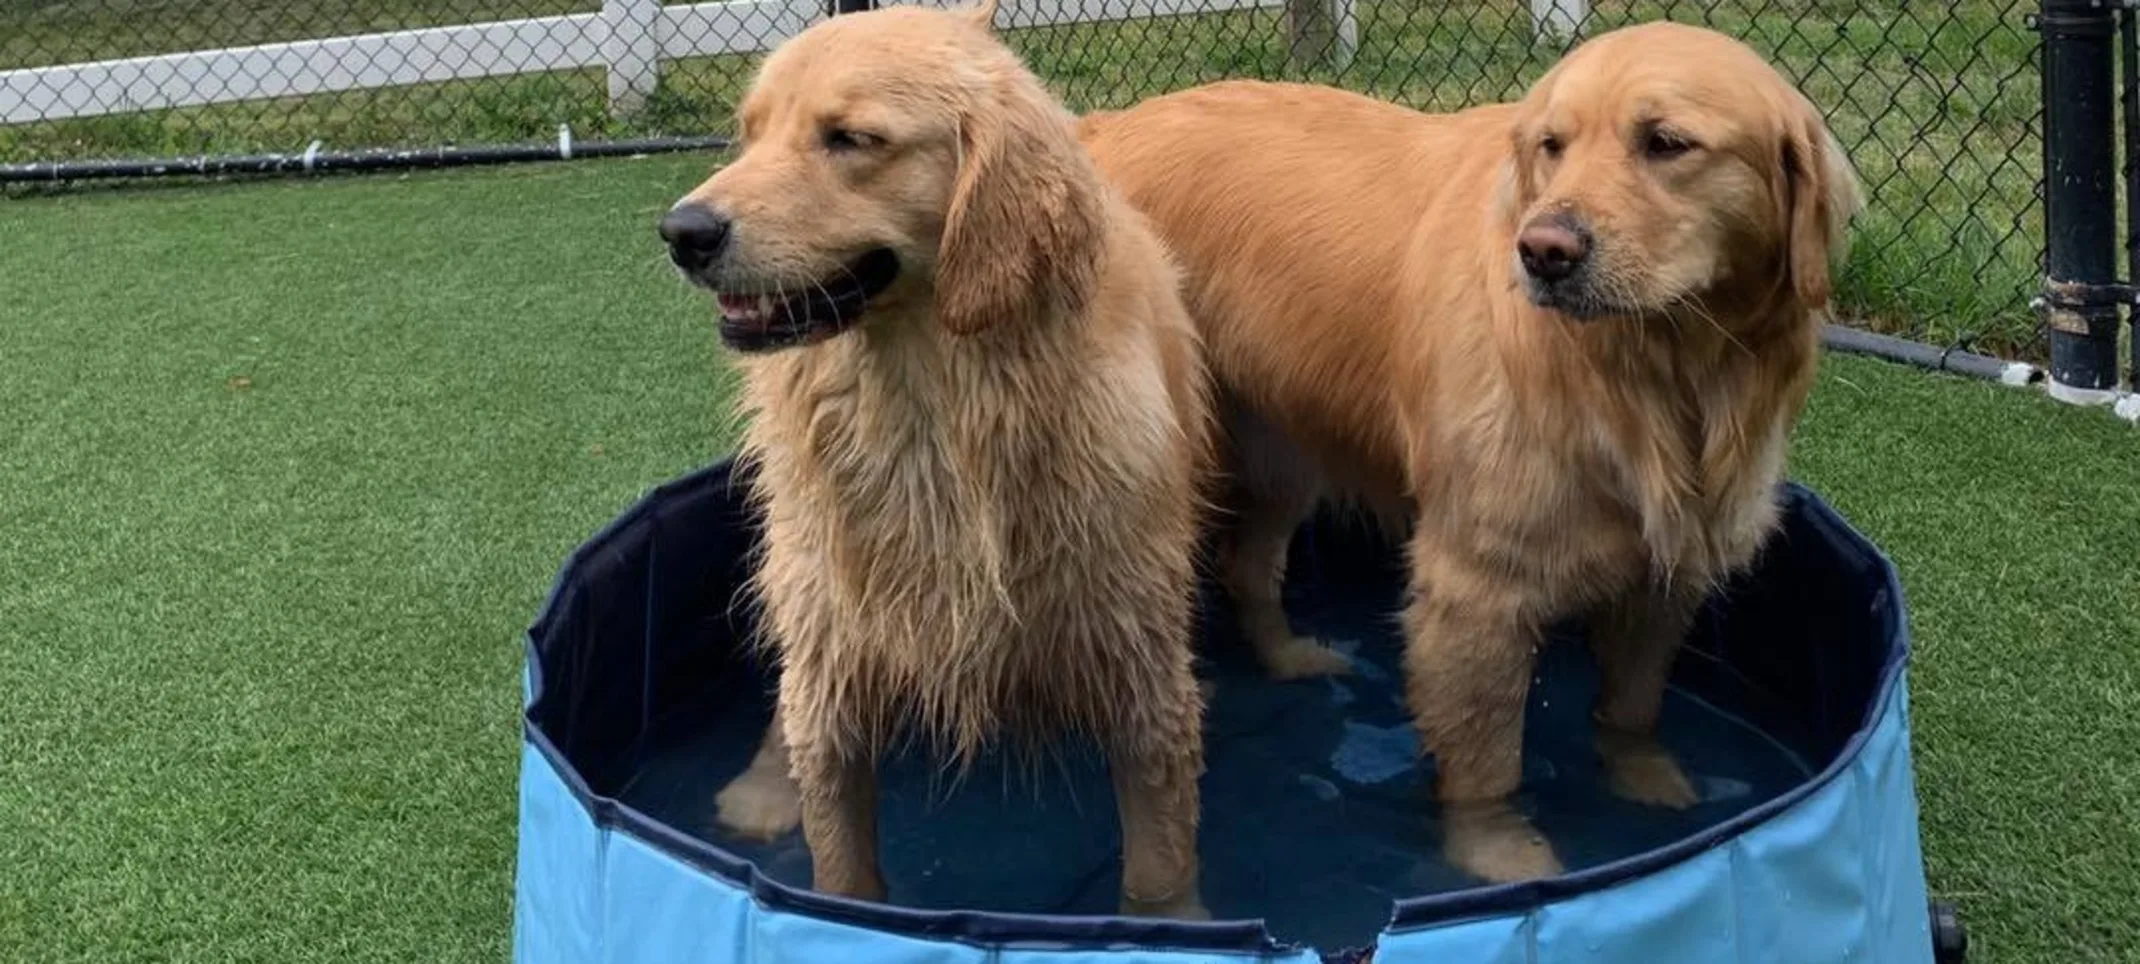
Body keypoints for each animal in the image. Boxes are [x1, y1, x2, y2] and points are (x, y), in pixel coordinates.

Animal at [650, 0, 1224, 916]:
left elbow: (1158, 869)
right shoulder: (837, 650)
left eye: (850, 139)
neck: (930, 411)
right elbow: (840, 858)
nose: (683, 232)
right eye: (748, 133)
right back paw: (762, 793)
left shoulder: (1137, 662)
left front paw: (1173, 926)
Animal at [1078, 20, 1866, 882]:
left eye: (1666, 143)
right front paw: (1502, 858)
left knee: (1248, 565)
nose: (1544, 251)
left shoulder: (1672, 559)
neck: (1654, 373)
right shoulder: (1477, 588)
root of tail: (1100, 128)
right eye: (1553, 145)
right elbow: (1488, 768)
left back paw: (1293, 659)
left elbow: (1632, 706)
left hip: (1283, 448)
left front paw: (1648, 785)